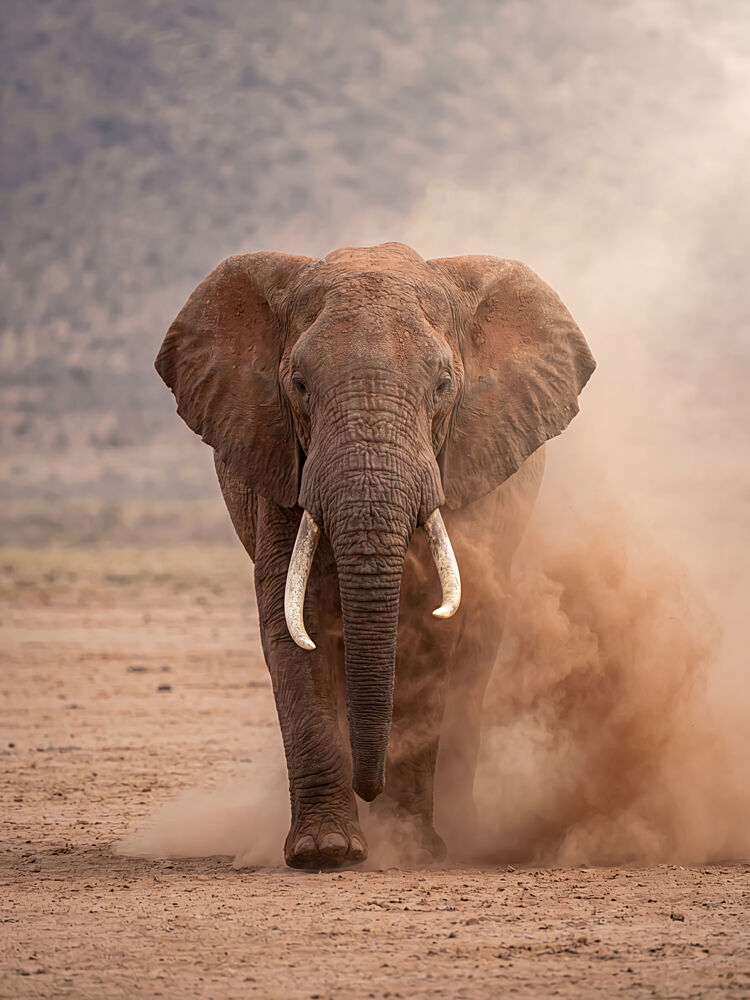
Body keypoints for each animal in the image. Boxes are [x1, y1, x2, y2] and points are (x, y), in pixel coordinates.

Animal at [155, 241, 595, 870]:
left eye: (443, 386)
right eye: (298, 384)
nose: (371, 789)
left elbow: (432, 631)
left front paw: (411, 850)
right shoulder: (280, 463)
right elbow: (295, 625)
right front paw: (327, 852)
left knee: (477, 654)